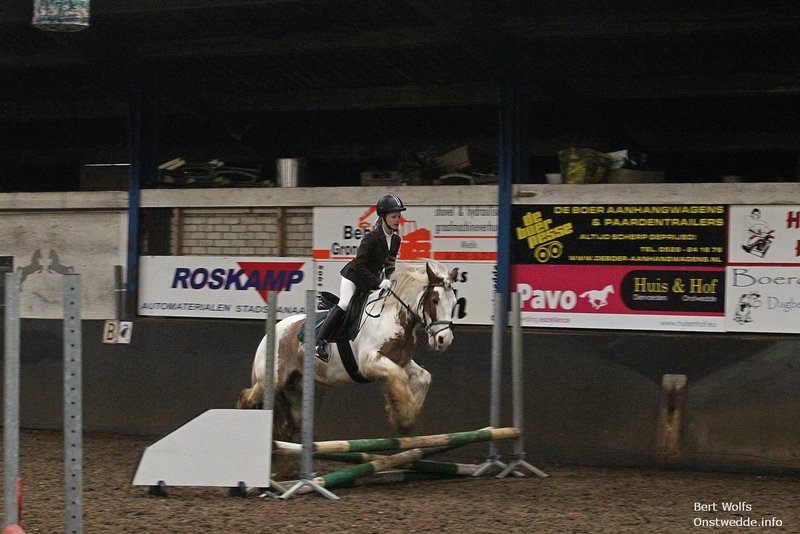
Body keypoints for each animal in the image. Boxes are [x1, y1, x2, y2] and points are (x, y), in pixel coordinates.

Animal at [237, 261, 459, 446]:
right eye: (434, 300)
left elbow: (423, 378)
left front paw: (406, 418)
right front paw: (401, 415)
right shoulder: (370, 362)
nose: (444, 340)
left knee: (289, 425)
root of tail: (271, 333)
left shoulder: (401, 361)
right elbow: (400, 377)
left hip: (296, 390)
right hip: (273, 380)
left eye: (455, 302)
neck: (394, 316)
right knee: (246, 398)